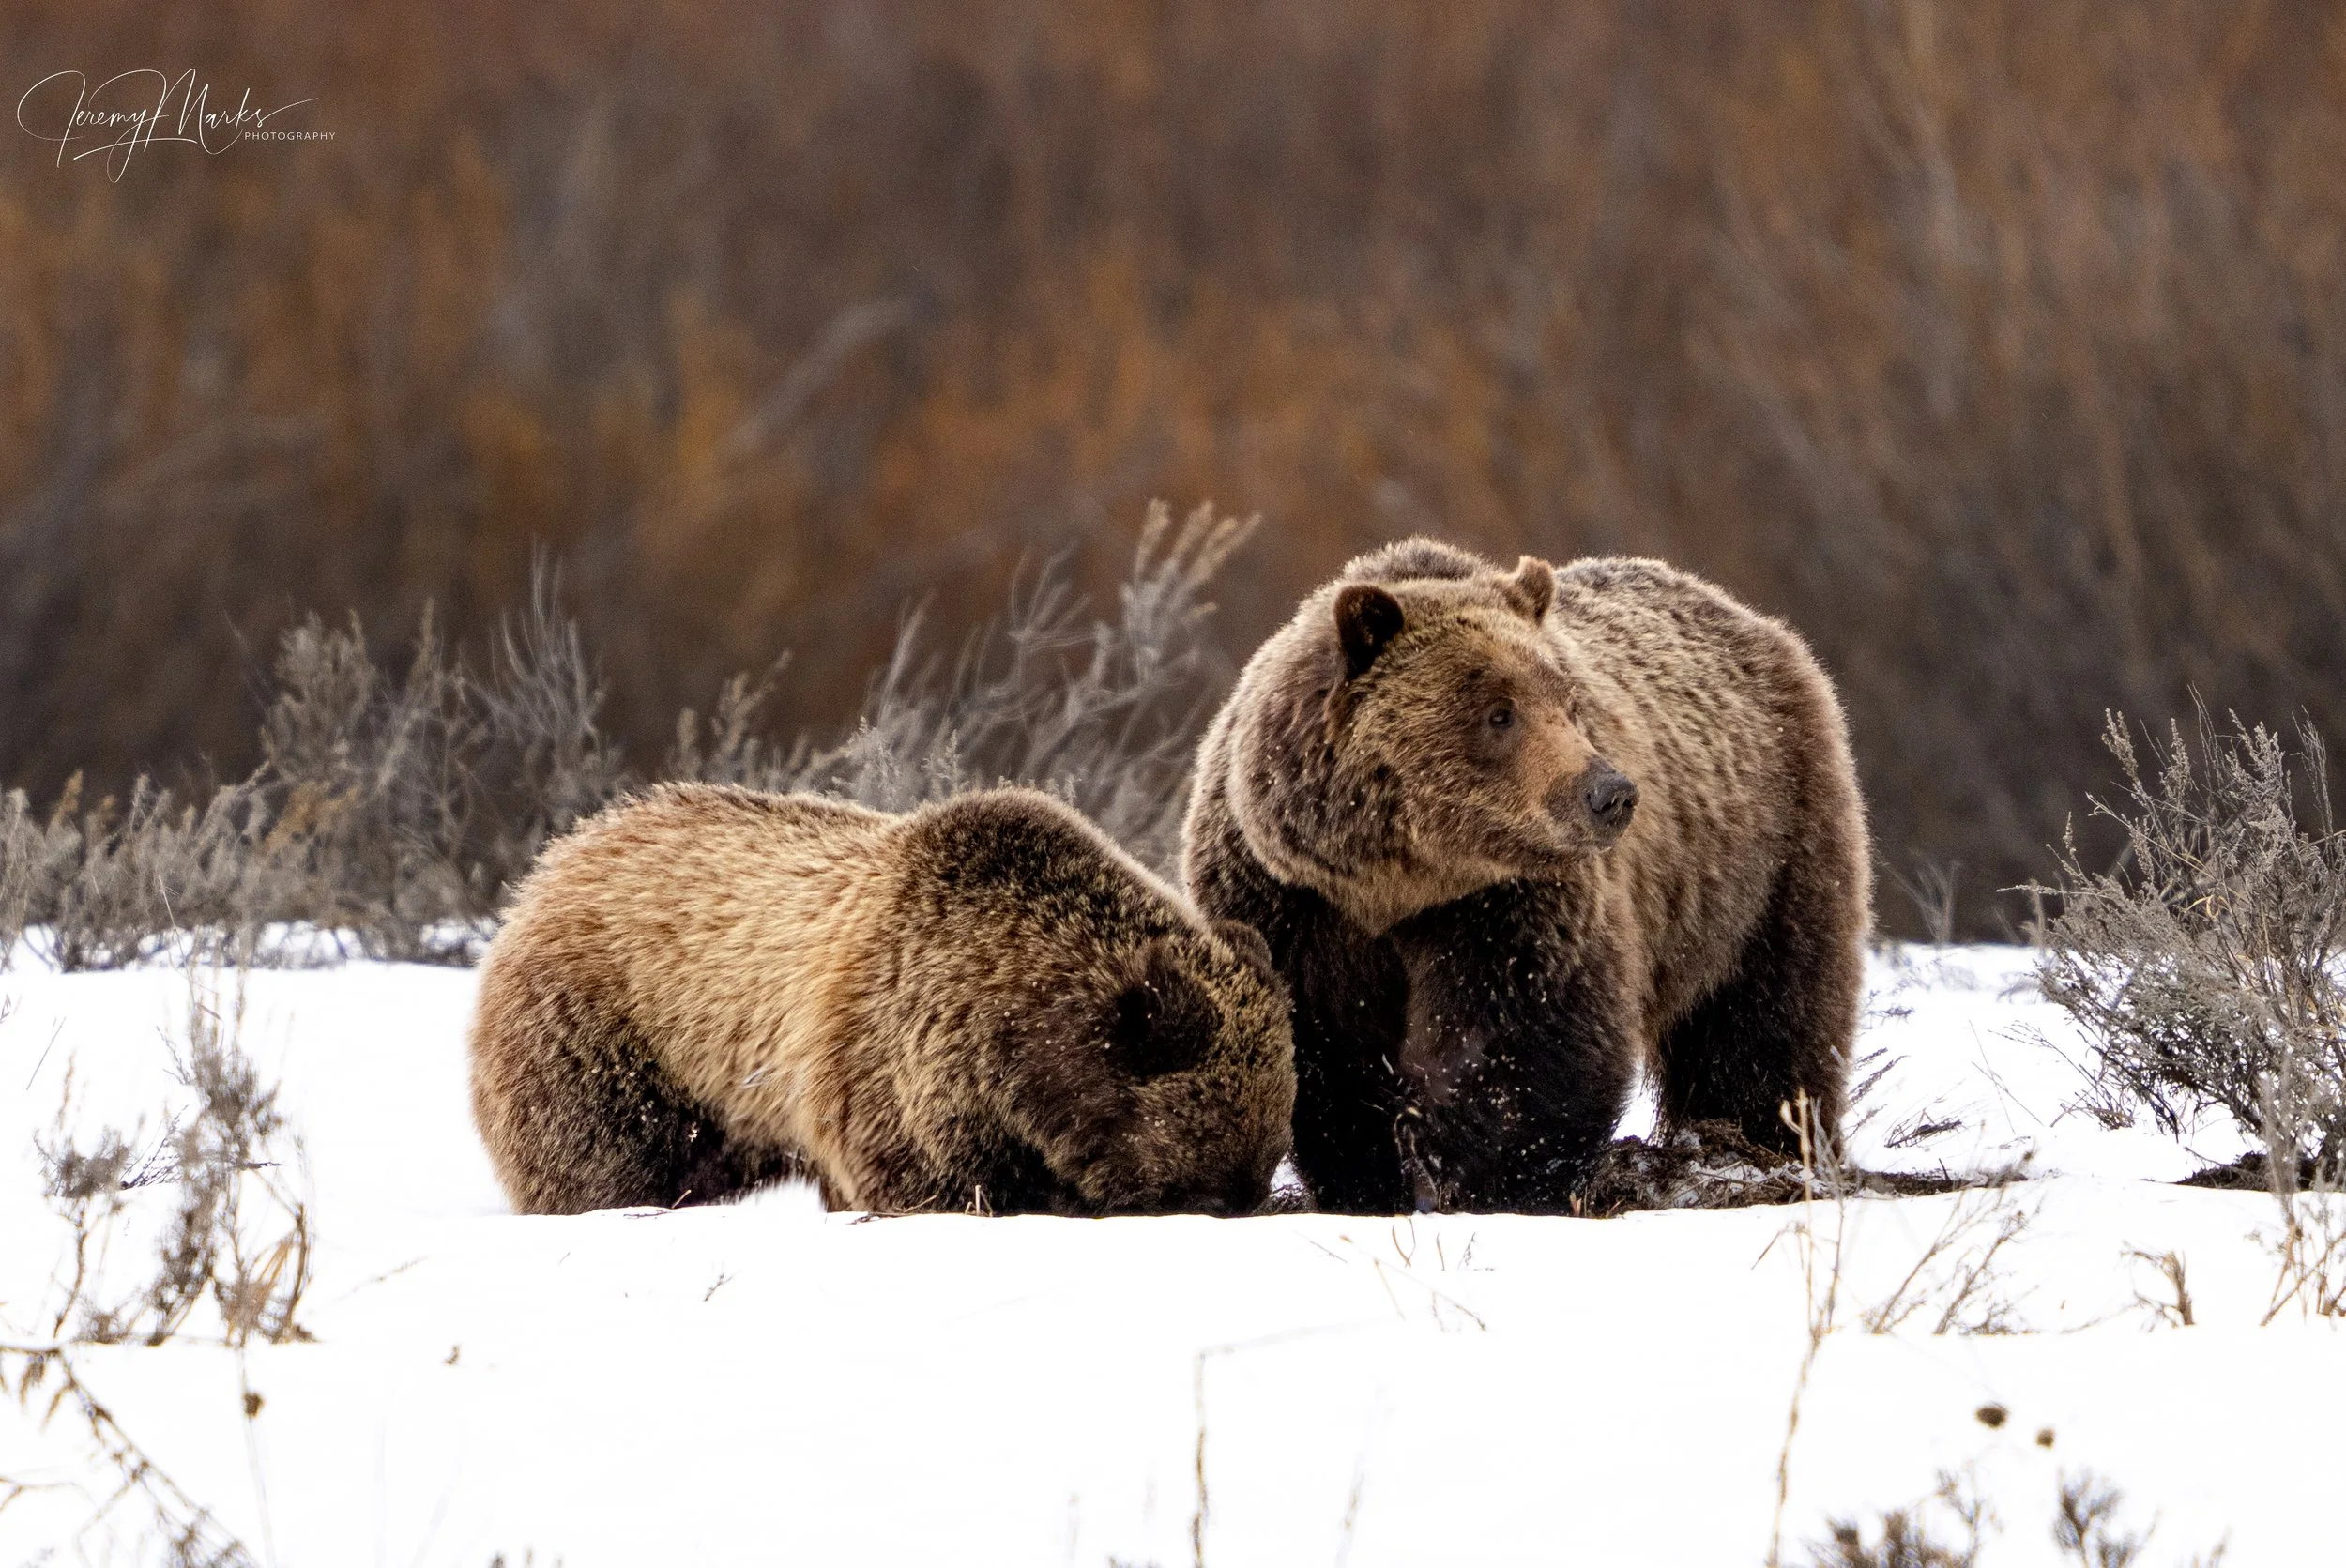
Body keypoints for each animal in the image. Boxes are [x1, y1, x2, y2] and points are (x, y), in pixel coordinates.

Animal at [470, 782, 1295, 1217]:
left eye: (1274, 1135)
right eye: (1208, 1165)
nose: (1254, 1197)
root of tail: (546, 869)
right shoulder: (897, 1066)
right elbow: (924, 1182)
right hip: (607, 1040)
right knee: (602, 1157)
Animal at [1181, 538, 1870, 1213]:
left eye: (1567, 701)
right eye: (1499, 712)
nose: (1611, 793)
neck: (1398, 884)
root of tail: (1749, 618)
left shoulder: (1511, 903)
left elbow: (1525, 1037)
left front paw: (1488, 1183)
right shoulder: (1292, 905)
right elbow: (1329, 1052)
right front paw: (1371, 1184)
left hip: (1764, 852)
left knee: (1768, 1014)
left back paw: (1762, 1142)